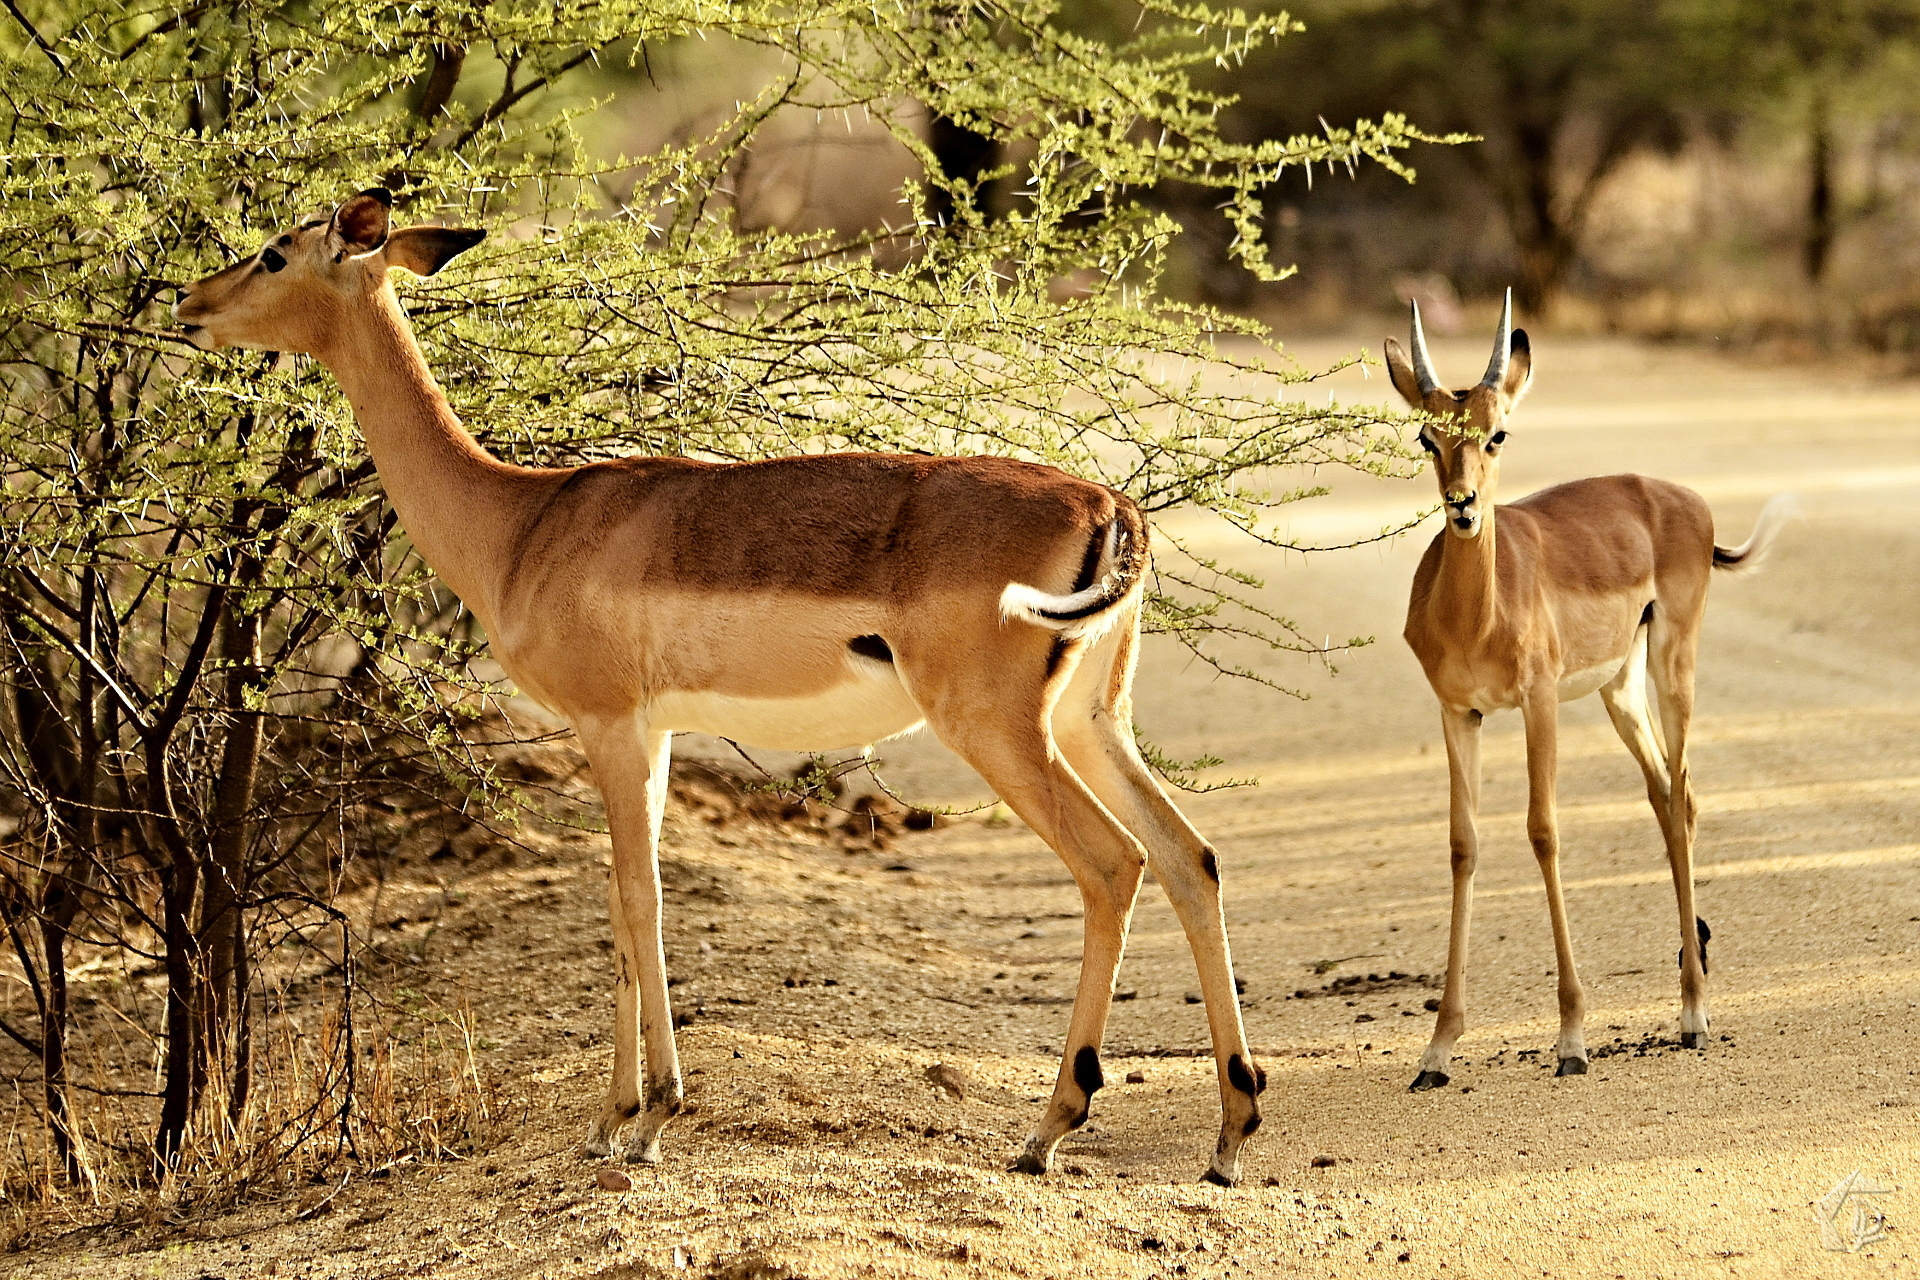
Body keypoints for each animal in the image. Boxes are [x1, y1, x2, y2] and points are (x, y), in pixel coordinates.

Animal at [174, 189, 1267, 1184]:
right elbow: (623, 903)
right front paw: (612, 1119)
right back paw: (1228, 1136)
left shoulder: (610, 723)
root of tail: (1112, 506)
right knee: (1191, 855)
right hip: (1090, 720)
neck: (522, 523)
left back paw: (1047, 1132)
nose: (190, 302)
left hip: (997, 727)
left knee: (1114, 863)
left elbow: (637, 896)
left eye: (274, 251)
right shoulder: (649, 732)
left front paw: (650, 1117)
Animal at [1384, 292, 1792, 1089]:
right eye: (1426, 436)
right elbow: (1462, 844)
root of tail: (1683, 500)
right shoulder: (1459, 712)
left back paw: (1695, 1016)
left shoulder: (1538, 702)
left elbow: (1544, 832)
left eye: (1497, 432)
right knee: (1667, 795)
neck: (1477, 613)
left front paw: (1572, 1038)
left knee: (1682, 794)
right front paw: (1436, 1052)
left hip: (1672, 666)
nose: (1463, 505)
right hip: (1619, 692)